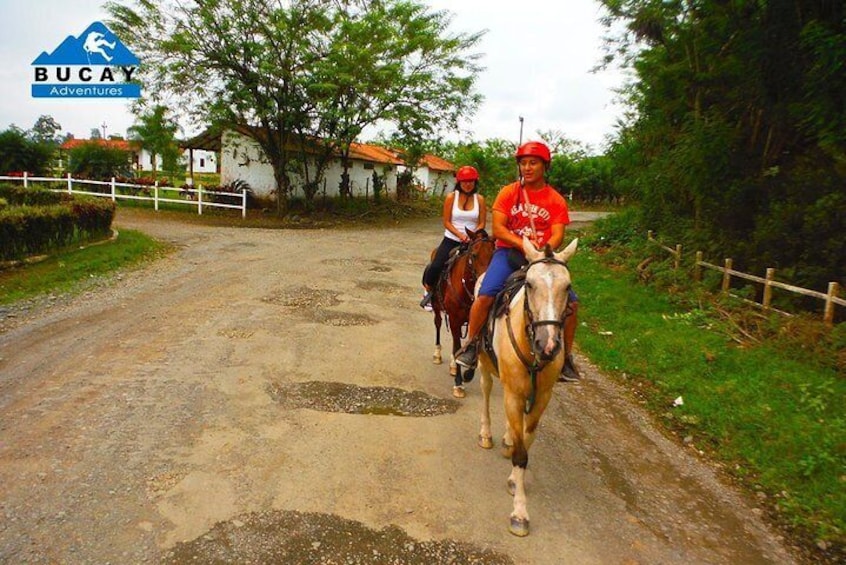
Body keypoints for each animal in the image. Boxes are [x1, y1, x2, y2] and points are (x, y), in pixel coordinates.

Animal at [430, 227, 496, 394]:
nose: (485, 283)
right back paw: (437, 354)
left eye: (493, 255)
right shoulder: (454, 319)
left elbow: (471, 345)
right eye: (474, 255)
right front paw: (459, 383)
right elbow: (456, 347)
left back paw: (454, 365)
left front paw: (468, 373)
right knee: (438, 324)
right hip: (437, 307)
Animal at [480, 236, 580, 536]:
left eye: (567, 286)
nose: (547, 345)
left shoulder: (542, 396)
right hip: (485, 366)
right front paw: (520, 513)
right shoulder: (513, 394)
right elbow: (522, 454)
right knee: (486, 392)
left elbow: (527, 438)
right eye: (530, 285)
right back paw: (486, 434)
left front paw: (515, 477)